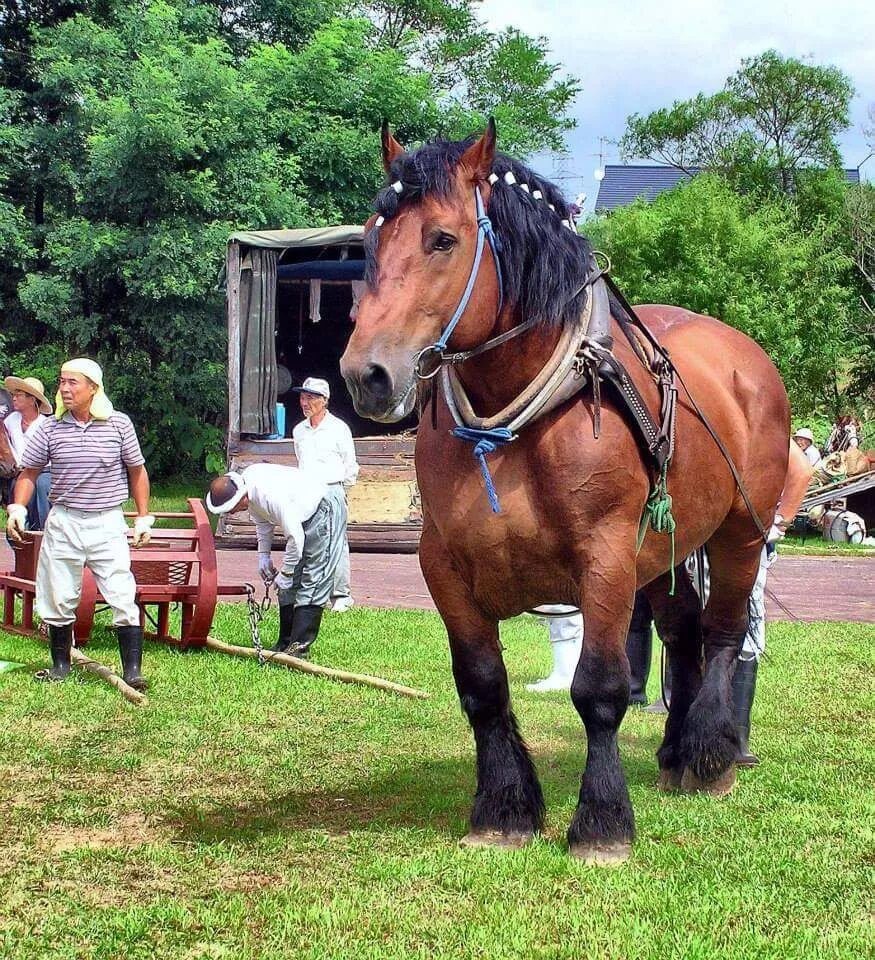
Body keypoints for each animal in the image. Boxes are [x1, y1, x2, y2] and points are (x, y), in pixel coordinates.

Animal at [338, 120, 792, 864]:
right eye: (373, 237)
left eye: (442, 239)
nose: (366, 374)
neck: (516, 418)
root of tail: (744, 355)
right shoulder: (443, 565)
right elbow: (482, 688)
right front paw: (503, 808)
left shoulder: (605, 558)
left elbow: (600, 690)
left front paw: (602, 821)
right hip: (661, 547)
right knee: (682, 633)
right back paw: (674, 754)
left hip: (739, 531)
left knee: (725, 632)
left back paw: (710, 756)